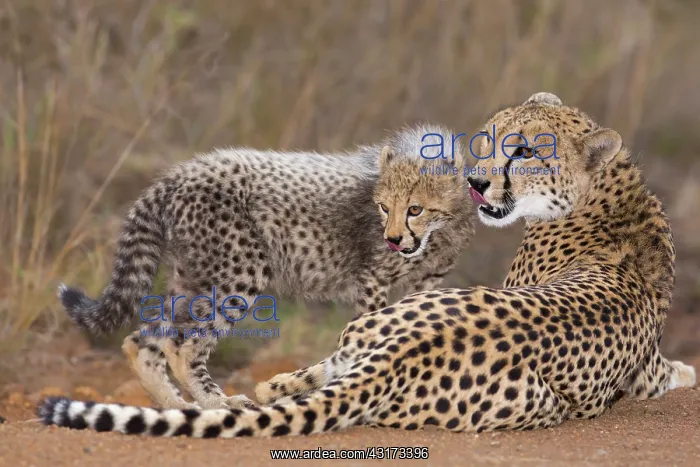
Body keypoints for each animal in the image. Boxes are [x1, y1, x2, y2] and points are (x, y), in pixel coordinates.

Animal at [54, 124, 474, 411]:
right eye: (384, 207)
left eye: (415, 208)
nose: (394, 239)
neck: (438, 232)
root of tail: (181, 172)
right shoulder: (374, 278)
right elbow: (372, 329)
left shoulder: (429, 282)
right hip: (239, 272)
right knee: (183, 346)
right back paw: (216, 403)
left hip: (192, 279)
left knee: (143, 340)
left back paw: (179, 406)